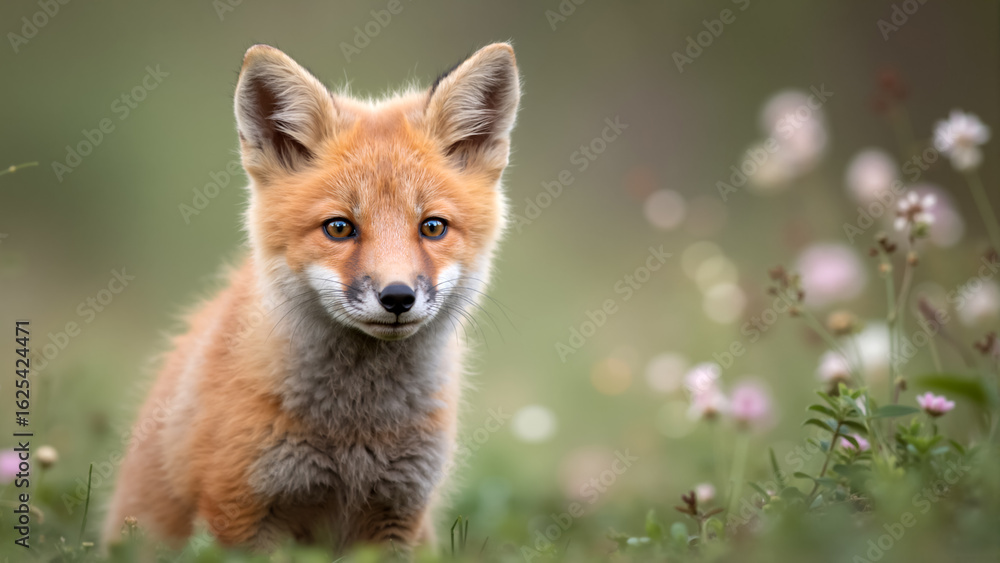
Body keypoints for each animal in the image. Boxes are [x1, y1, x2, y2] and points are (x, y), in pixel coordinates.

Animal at [101, 42, 520, 553]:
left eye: (433, 227)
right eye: (339, 228)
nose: (397, 297)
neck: (356, 430)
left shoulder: (398, 513)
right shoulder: (239, 509)